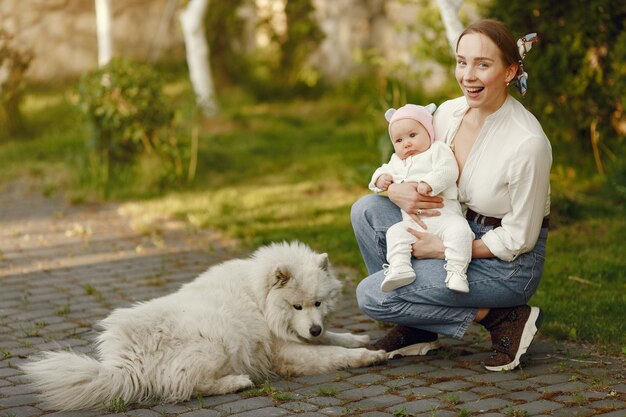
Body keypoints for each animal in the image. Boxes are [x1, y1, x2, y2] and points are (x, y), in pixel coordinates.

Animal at [22, 240, 386, 410]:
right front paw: (368, 357)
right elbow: (334, 355)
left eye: (318, 303)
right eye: (296, 306)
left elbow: (339, 339)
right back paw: (236, 382)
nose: (314, 330)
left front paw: (360, 339)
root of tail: (126, 363)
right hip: (215, 342)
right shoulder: (286, 352)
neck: (259, 297)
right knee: (185, 388)